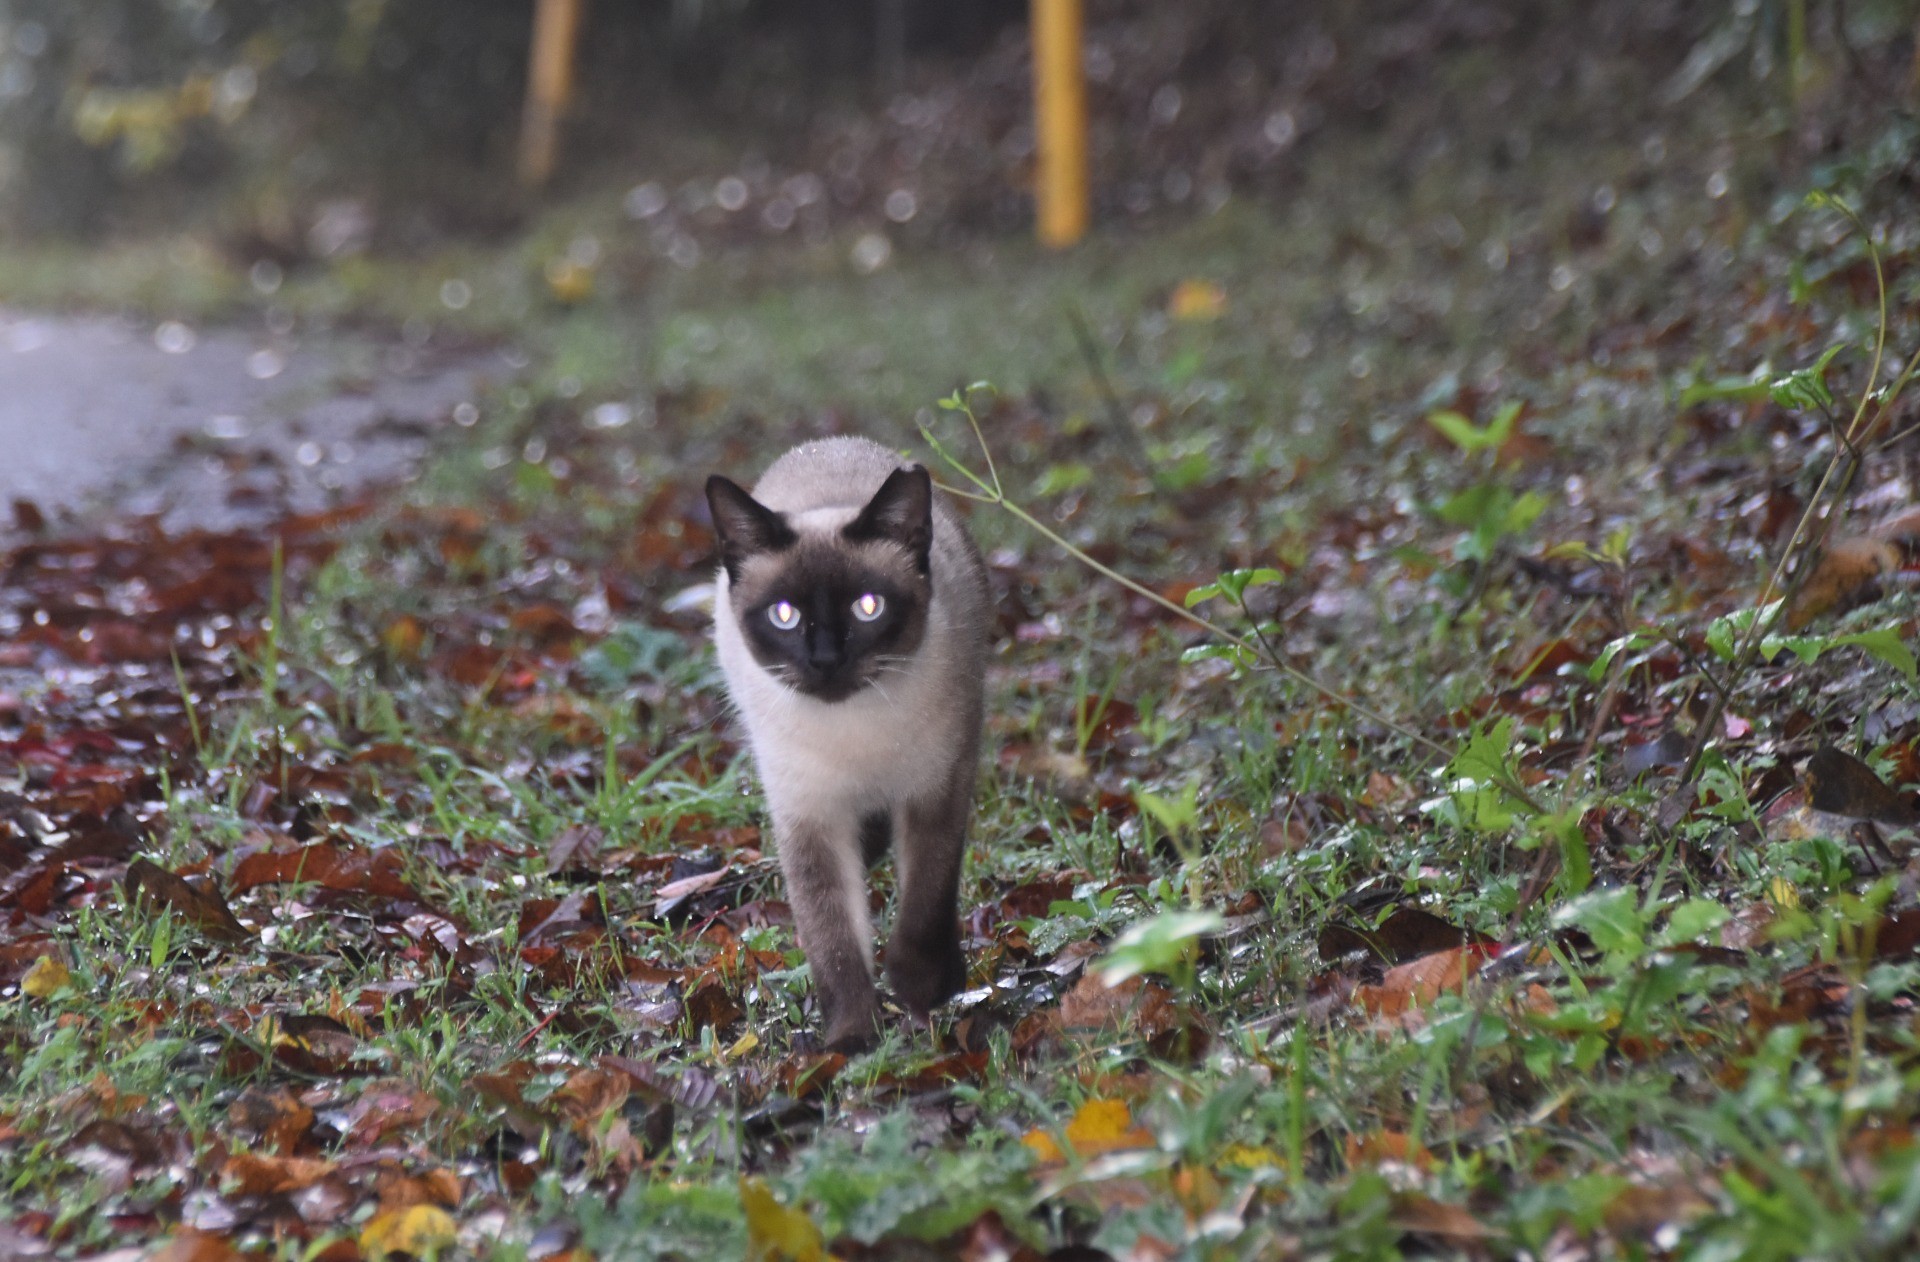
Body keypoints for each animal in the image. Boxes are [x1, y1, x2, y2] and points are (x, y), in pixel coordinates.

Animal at [714, 437, 998, 1044]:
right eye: (784, 615)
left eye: (868, 607)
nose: (825, 661)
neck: (853, 731)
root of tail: (828, 445)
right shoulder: (810, 818)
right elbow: (833, 937)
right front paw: (850, 1040)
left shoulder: (937, 791)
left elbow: (924, 903)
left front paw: (921, 992)